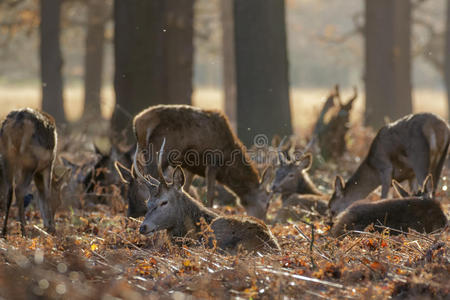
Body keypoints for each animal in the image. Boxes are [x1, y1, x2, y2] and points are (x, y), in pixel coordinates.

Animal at [133, 104, 274, 219]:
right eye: (267, 203)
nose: (264, 221)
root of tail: (138, 122)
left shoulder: (190, 168)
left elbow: (186, 189)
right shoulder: (212, 162)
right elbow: (210, 194)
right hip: (159, 152)